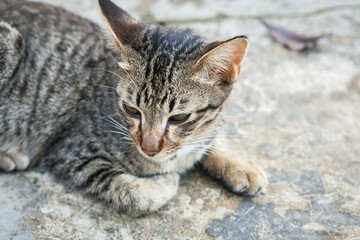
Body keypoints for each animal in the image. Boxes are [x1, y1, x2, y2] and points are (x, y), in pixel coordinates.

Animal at [0, 0, 268, 216]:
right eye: (131, 110)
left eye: (179, 117)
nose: (149, 148)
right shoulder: (69, 152)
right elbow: (134, 192)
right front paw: (166, 181)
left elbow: (210, 139)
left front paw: (238, 165)